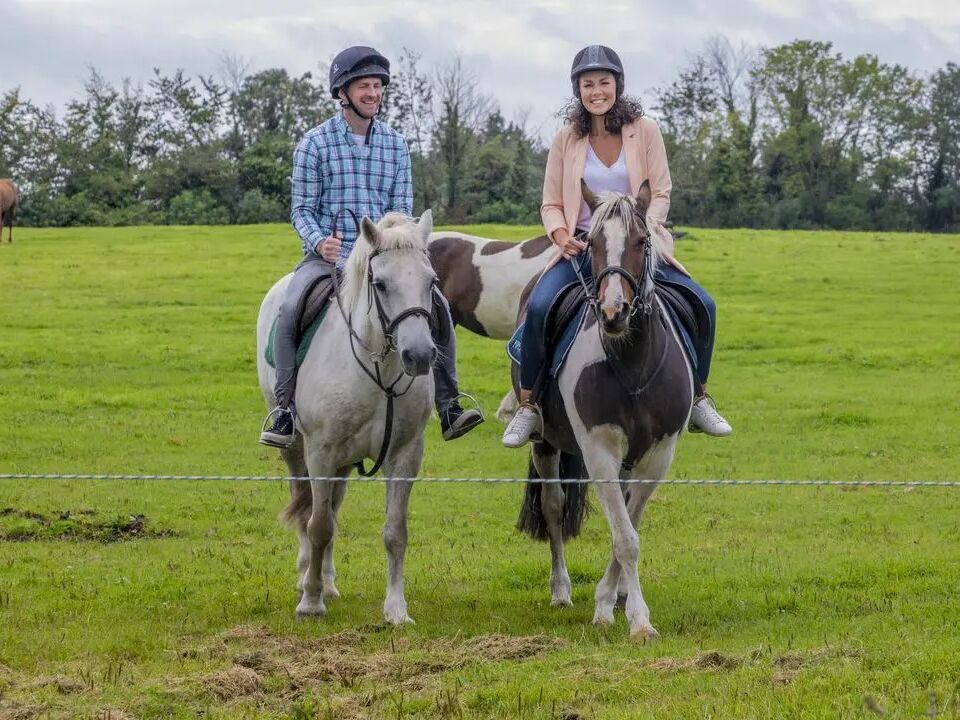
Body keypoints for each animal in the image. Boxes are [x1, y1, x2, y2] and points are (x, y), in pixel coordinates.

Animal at [255, 210, 436, 624]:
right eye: (380, 284)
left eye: (431, 281)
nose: (419, 355)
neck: (379, 371)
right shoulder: (321, 452)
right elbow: (318, 525)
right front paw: (310, 602)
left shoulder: (405, 455)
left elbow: (394, 532)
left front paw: (396, 610)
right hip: (297, 451)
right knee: (306, 505)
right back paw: (308, 577)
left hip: (343, 463)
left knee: (331, 508)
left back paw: (328, 581)